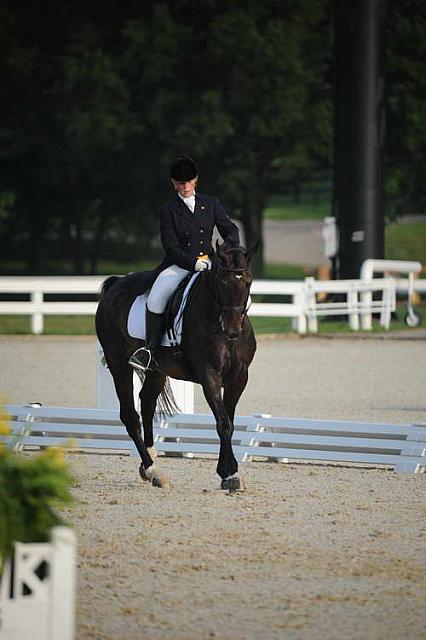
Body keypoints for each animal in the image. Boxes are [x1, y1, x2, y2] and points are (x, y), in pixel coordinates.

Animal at [95, 241, 256, 490]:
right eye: (222, 281)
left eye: (248, 281)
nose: (232, 330)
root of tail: (115, 285)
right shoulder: (209, 374)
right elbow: (223, 423)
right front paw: (230, 475)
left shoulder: (239, 377)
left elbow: (229, 420)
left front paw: (228, 473)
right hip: (118, 364)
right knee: (130, 416)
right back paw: (152, 470)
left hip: (156, 371)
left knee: (147, 404)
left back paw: (149, 463)